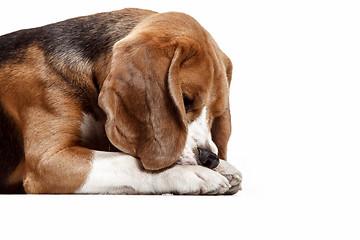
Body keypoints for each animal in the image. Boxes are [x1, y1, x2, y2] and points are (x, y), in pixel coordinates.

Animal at [0, 8, 242, 194]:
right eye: (185, 99)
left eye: (217, 113)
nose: (209, 159)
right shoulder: (48, 161)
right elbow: (124, 161)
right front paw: (189, 173)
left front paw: (223, 167)